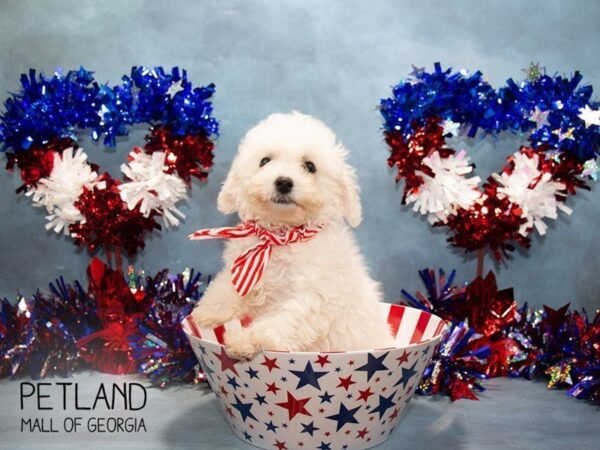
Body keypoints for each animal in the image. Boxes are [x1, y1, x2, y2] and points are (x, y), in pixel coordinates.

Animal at [192, 111, 396, 358]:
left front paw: (245, 340)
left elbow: (278, 323)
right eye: (264, 161)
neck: (282, 236)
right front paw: (208, 310)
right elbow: (229, 285)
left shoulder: (312, 298)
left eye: (310, 166)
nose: (283, 182)